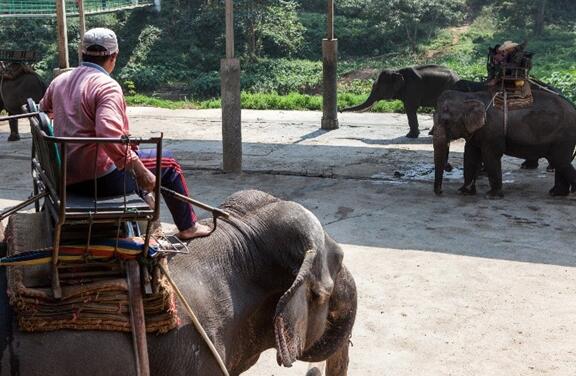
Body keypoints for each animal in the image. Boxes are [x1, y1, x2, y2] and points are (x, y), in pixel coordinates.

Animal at [432, 90, 576, 198]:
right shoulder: (476, 131)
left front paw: (492, 195)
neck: (470, 96)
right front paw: (464, 192)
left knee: (560, 161)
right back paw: (556, 193)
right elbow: (470, 155)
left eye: (446, 122)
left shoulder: (493, 132)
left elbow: (490, 156)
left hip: (564, 136)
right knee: (560, 162)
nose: (440, 192)